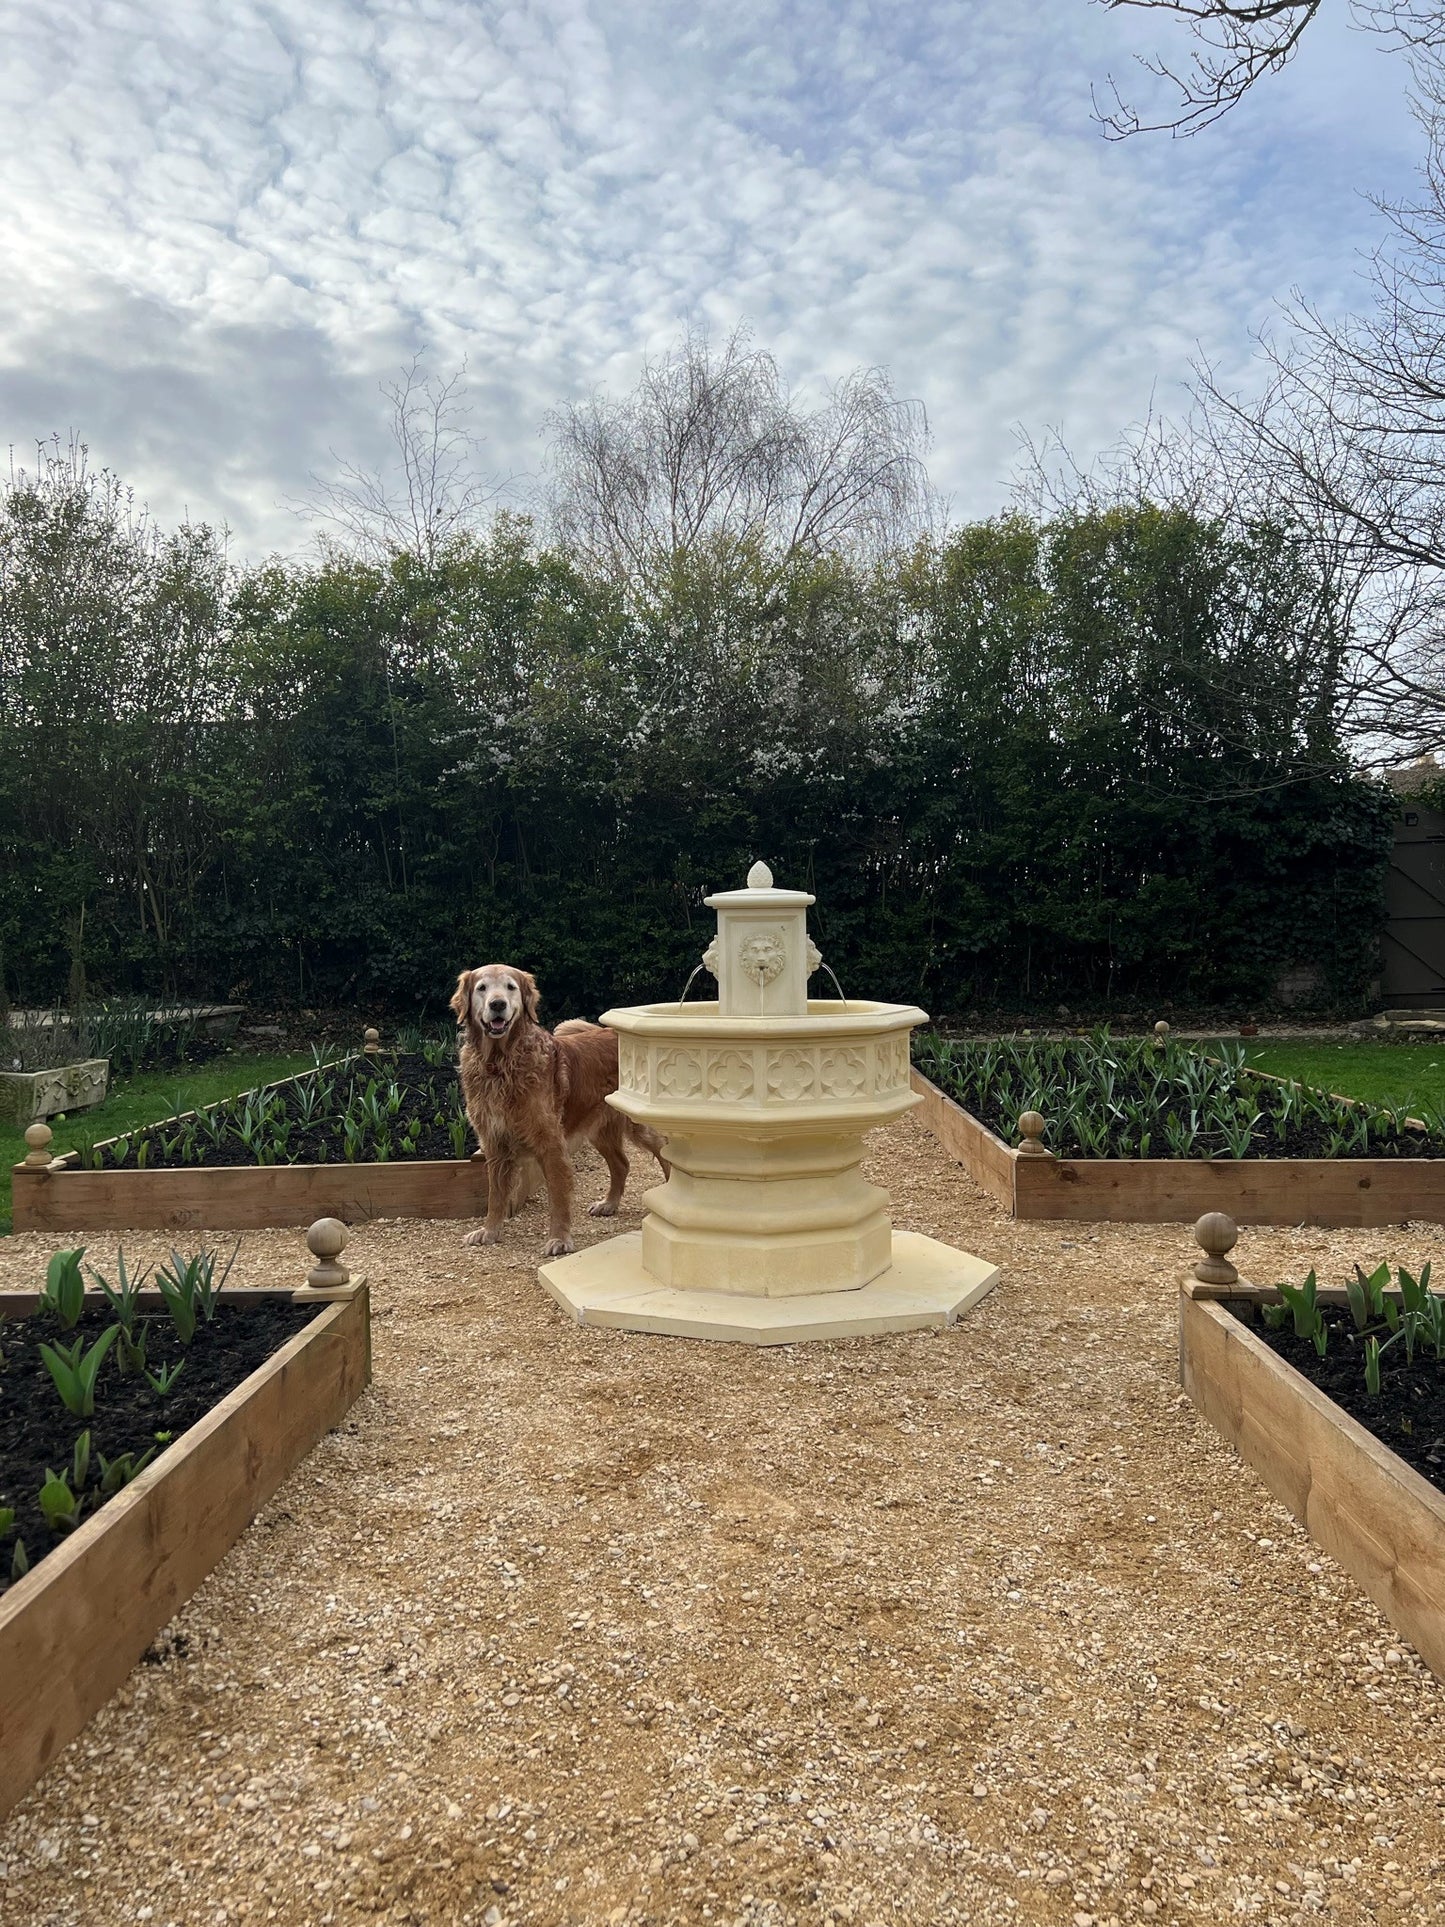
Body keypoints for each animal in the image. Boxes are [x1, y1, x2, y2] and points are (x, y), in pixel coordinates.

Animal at [450, 963, 670, 1264]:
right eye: (482, 988)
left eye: (510, 987)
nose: (497, 1004)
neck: (500, 1063)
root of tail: (614, 1033)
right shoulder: (494, 1144)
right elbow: (495, 1195)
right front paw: (489, 1231)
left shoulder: (550, 1143)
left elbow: (557, 1196)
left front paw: (559, 1239)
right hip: (599, 1128)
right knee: (621, 1164)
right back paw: (609, 1204)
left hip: (636, 1123)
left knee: (664, 1150)